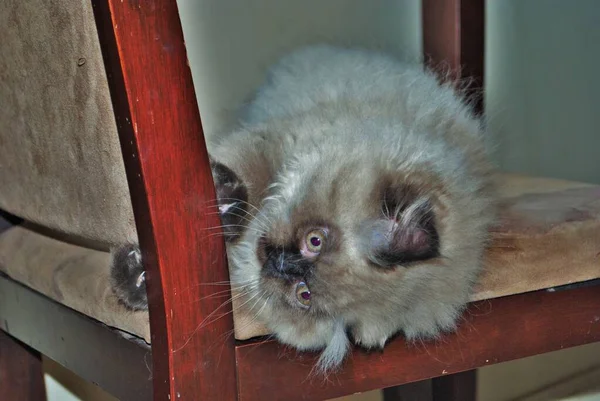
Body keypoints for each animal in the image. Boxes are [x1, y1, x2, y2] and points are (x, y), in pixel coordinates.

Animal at [110, 44, 494, 372]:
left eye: (303, 295)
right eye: (315, 241)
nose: (281, 263)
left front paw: (137, 278)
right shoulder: (272, 141)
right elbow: (242, 172)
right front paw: (224, 200)